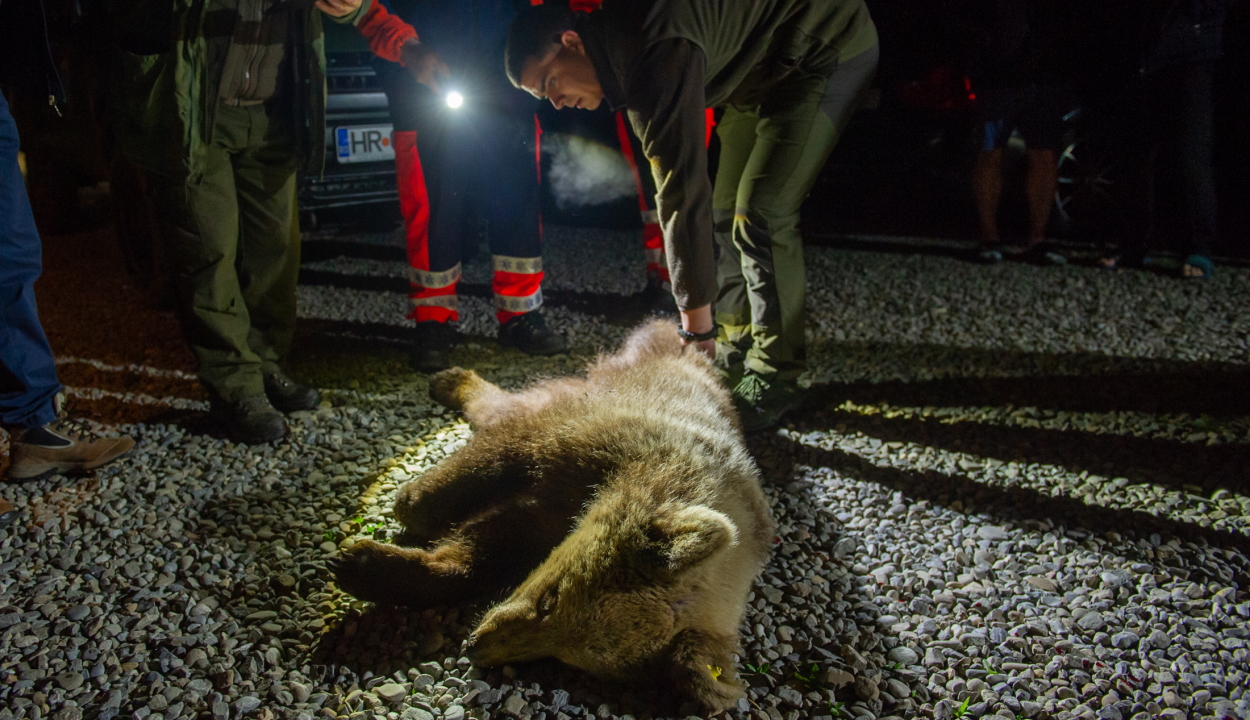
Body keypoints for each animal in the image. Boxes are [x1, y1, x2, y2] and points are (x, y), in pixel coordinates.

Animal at [337, 318, 775, 710]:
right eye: (551, 599)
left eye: (568, 658)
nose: (475, 645)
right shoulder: (592, 440)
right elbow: (499, 460)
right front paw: (408, 505)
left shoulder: (550, 514)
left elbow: (481, 548)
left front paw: (369, 565)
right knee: (507, 408)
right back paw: (450, 379)